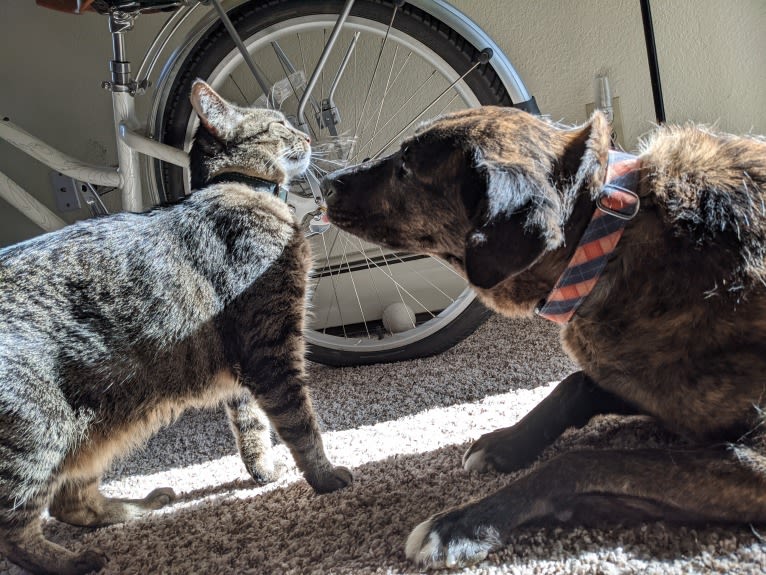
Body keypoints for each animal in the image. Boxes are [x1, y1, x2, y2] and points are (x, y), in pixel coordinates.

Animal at [0, 81, 352, 575]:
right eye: (279, 123)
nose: (304, 133)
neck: (240, 188)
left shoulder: (244, 372)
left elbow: (252, 429)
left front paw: (263, 472)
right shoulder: (271, 348)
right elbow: (300, 424)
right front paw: (323, 476)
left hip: (95, 430)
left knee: (71, 504)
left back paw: (141, 507)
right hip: (38, 435)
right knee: (15, 530)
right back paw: (71, 562)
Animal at [320, 107, 766, 568]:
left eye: (406, 167)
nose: (324, 182)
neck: (606, 242)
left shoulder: (753, 460)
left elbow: (577, 461)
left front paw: (464, 523)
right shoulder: (645, 385)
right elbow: (572, 386)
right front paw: (508, 442)